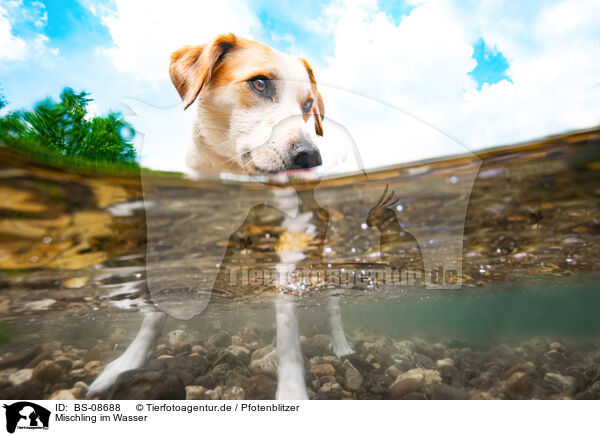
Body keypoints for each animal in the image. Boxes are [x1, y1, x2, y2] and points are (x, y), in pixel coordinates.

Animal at [88, 33, 352, 402]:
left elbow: (286, 319)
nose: (310, 157)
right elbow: (155, 312)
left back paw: (341, 345)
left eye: (307, 104)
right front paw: (126, 364)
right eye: (259, 83)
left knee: (332, 303)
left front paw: (291, 390)